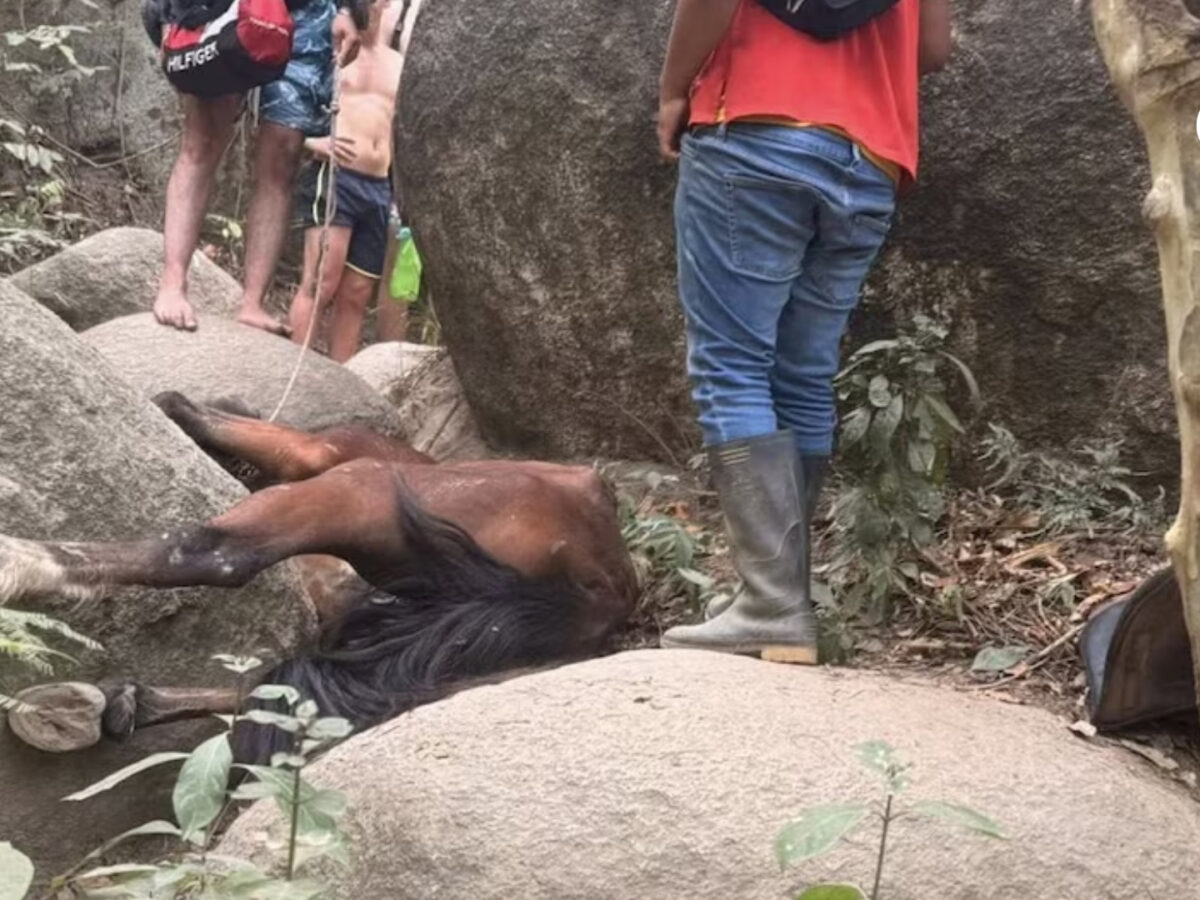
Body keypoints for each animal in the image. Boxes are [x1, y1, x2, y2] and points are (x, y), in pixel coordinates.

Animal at [0, 392, 639, 760]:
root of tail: (605, 587)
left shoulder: (314, 463)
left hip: (357, 494)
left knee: (212, 554)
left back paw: (21, 564)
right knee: (279, 683)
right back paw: (112, 703)